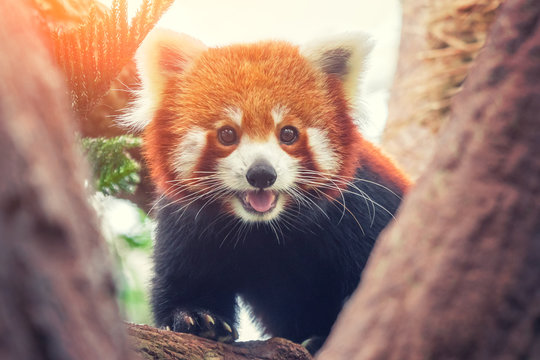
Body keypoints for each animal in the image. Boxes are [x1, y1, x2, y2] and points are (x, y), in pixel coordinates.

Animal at [122, 28, 410, 354]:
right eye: (227, 134)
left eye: (288, 134)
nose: (261, 174)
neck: (266, 228)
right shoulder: (185, 222)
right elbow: (183, 279)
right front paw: (198, 317)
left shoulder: (364, 208)